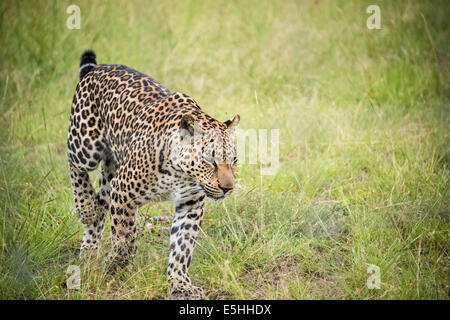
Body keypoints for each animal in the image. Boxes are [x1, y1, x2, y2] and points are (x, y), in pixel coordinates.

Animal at [66, 50, 239, 300]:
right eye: (210, 161)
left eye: (233, 161)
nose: (228, 188)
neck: (180, 173)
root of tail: (96, 69)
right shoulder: (124, 192)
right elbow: (125, 238)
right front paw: (114, 263)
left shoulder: (191, 205)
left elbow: (182, 248)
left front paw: (180, 285)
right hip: (85, 144)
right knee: (75, 166)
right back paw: (86, 209)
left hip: (111, 169)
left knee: (102, 203)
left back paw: (89, 248)